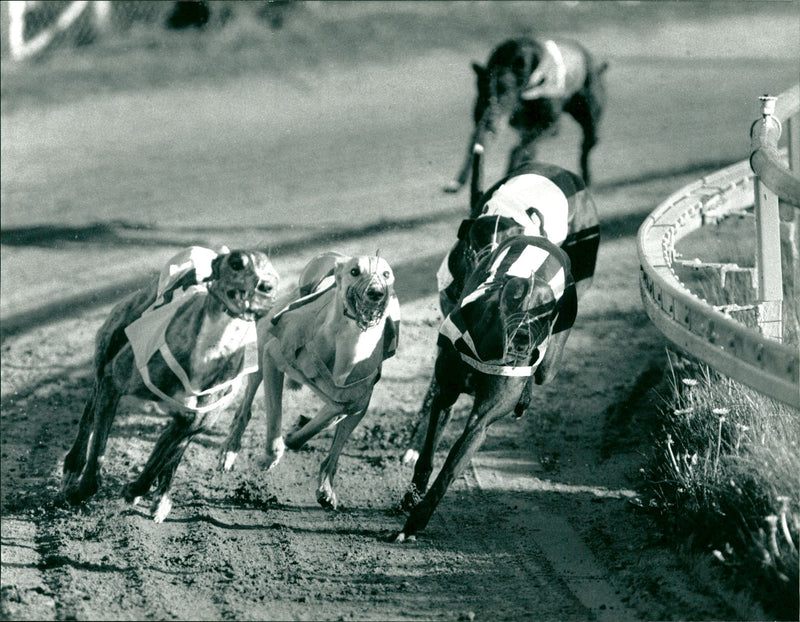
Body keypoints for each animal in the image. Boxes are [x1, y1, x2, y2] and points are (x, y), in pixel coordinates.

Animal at [60, 246, 278, 524]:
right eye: (237, 263)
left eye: (273, 274)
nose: (266, 286)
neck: (210, 348)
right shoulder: (112, 382)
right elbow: (97, 450)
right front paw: (78, 492)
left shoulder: (190, 422)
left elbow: (158, 461)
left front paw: (135, 491)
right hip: (107, 350)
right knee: (90, 411)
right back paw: (72, 466)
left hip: (194, 422)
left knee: (171, 454)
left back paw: (161, 497)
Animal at [219, 252, 400, 512]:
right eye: (354, 271)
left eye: (386, 274)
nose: (375, 292)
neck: (347, 342)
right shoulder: (273, 359)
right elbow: (275, 421)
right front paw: (268, 458)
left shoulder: (354, 403)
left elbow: (321, 427)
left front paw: (296, 436)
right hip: (262, 355)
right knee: (245, 408)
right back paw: (230, 449)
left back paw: (325, 484)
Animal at [444, 36, 608, 193]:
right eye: (484, 94)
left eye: (506, 93)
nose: (490, 122)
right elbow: (477, 144)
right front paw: (458, 181)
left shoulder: (549, 124)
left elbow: (517, 149)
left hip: (589, 119)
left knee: (586, 145)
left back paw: (586, 177)